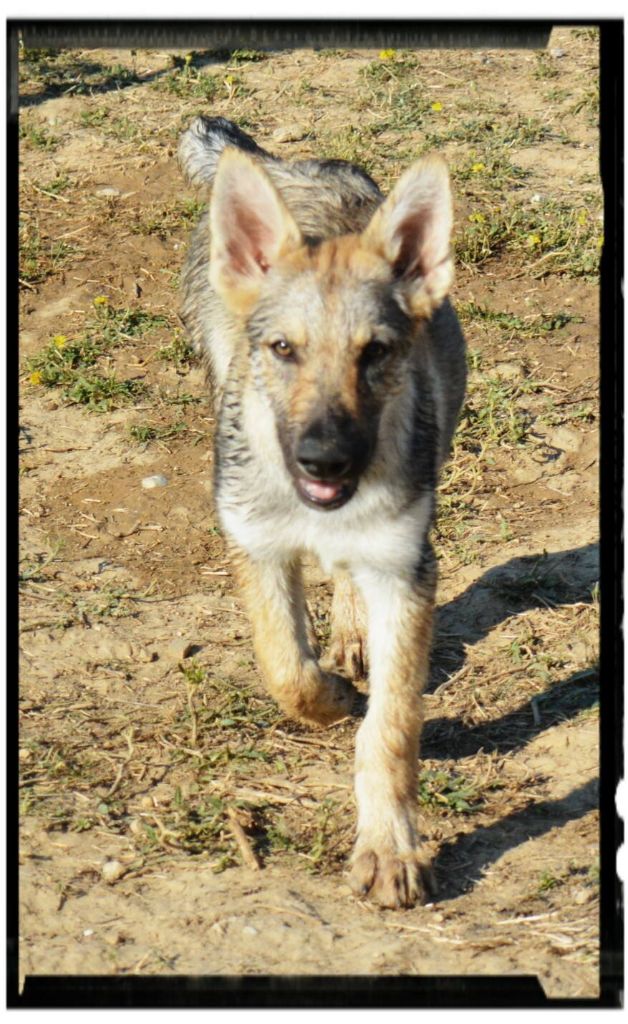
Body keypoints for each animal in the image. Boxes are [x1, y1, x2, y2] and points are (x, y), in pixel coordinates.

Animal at [179, 116, 463, 909]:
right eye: (283, 350)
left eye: (375, 354)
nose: (325, 462)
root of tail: (293, 164)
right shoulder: (257, 547)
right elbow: (287, 671)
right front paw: (333, 695)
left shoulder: (405, 570)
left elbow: (391, 727)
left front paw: (389, 848)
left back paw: (352, 631)